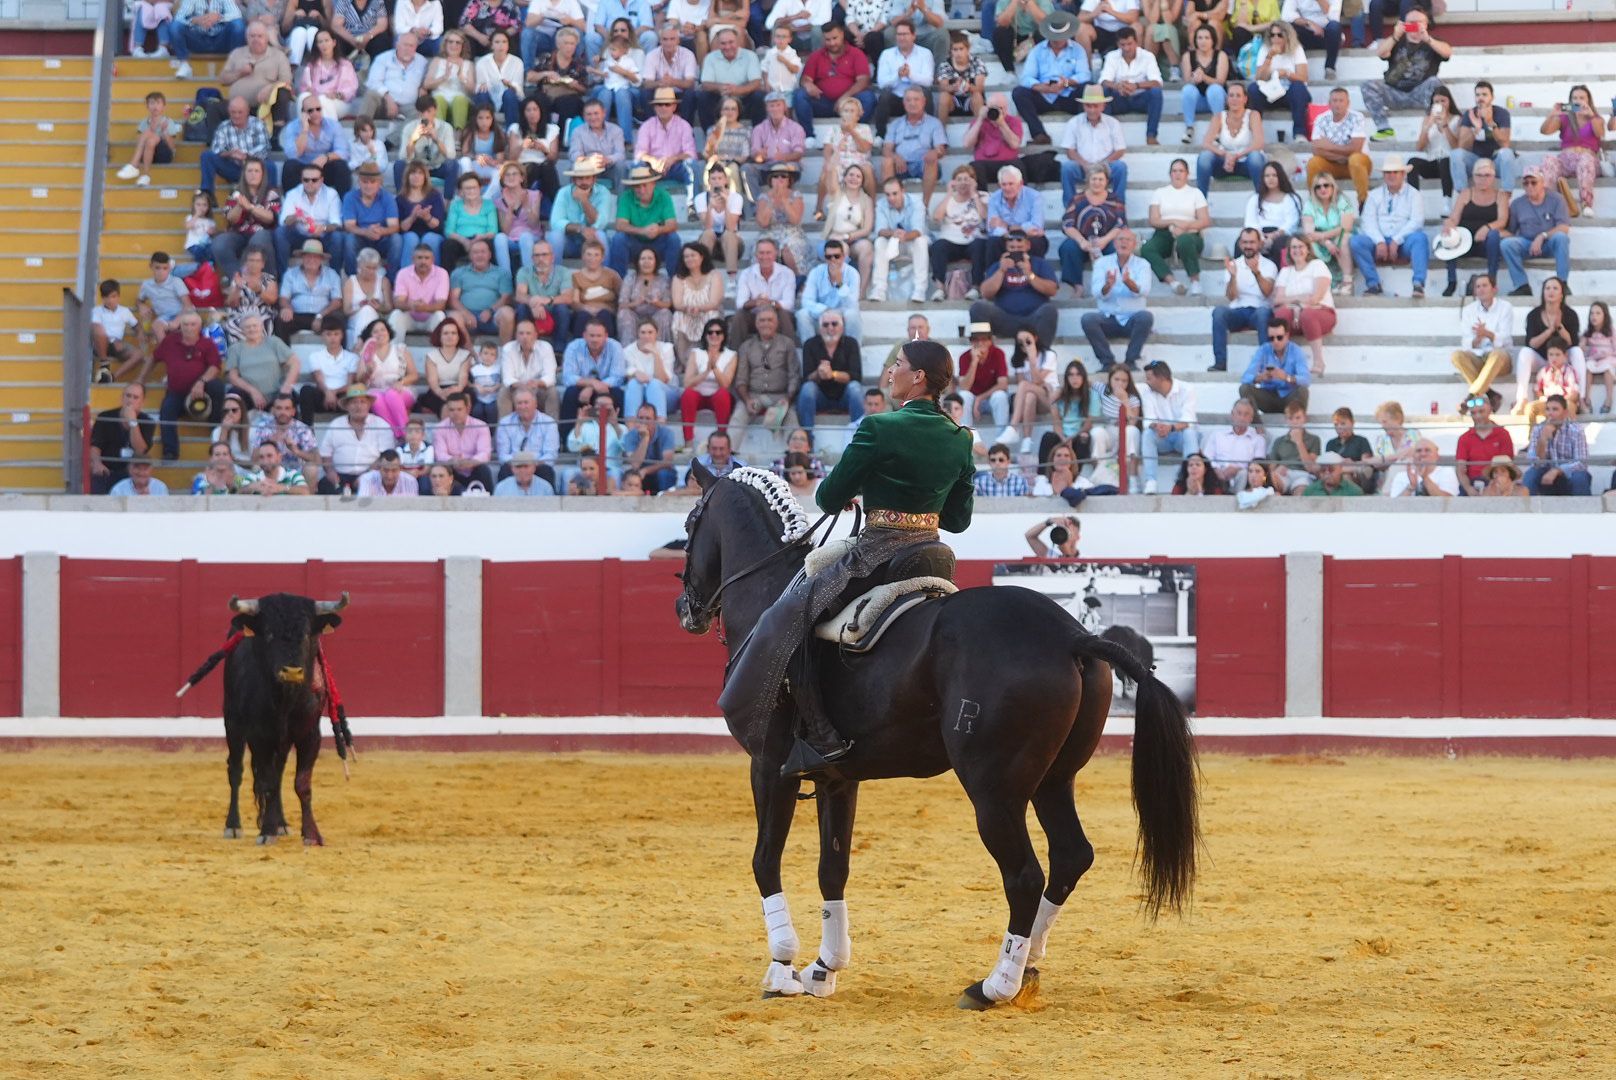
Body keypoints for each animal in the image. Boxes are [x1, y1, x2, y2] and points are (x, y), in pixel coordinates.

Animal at [221, 594, 347, 840]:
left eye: (307, 633)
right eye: (269, 633)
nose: (292, 672)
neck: (285, 699)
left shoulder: (310, 734)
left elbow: (301, 783)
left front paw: (310, 834)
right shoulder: (258, 735)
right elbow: (266, 781)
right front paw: (267, 831)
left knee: (278, 772)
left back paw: (281, 823)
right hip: (232, 722)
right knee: (236, 769)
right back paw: (233, 825)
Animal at [672, 465, 1202, 1015]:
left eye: (690, 523)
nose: (685, 608)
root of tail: (1072, 636)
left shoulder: (768, 765)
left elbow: (765, 860)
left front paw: (781, 969)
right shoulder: (837, 778)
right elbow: (832, 867)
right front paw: (823, 969)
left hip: (993, 792)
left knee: (1025, 874)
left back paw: (994, 985)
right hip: (1054, 780)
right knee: (1071, 856)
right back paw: (1029, 968)